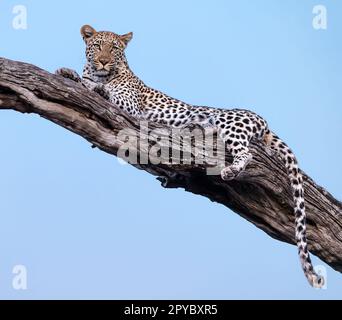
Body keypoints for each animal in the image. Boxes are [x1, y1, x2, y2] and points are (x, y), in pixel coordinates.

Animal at [55, 23, 324, 286]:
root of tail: (264, 121)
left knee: (245, 153)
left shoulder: (131, 106)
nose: (103, 61)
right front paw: (67, 72)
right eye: (97, 45)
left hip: (229, 122)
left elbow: (100, 89)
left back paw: (229, 167)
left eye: (114, 48)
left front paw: (90, 84)